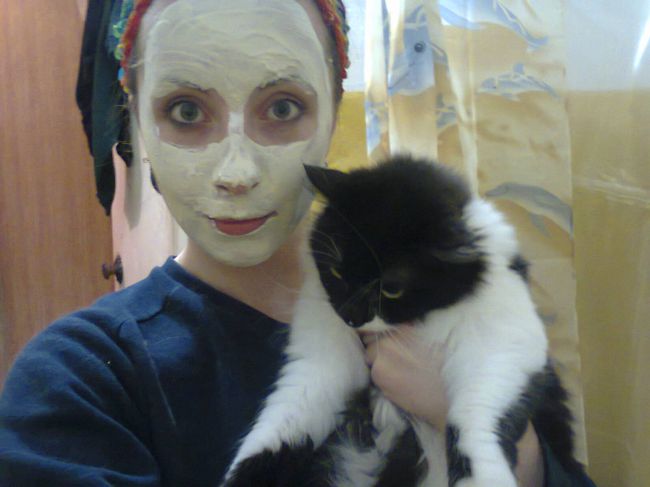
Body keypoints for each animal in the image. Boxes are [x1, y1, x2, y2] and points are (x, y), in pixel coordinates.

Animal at [223, 155, 582, 487]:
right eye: (336, 272)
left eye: (392, 289)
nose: (350, 317)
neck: (425, 316)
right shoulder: (322, 363)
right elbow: (282, 426)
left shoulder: (504, 345)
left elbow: (474, 416)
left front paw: (481, 477)